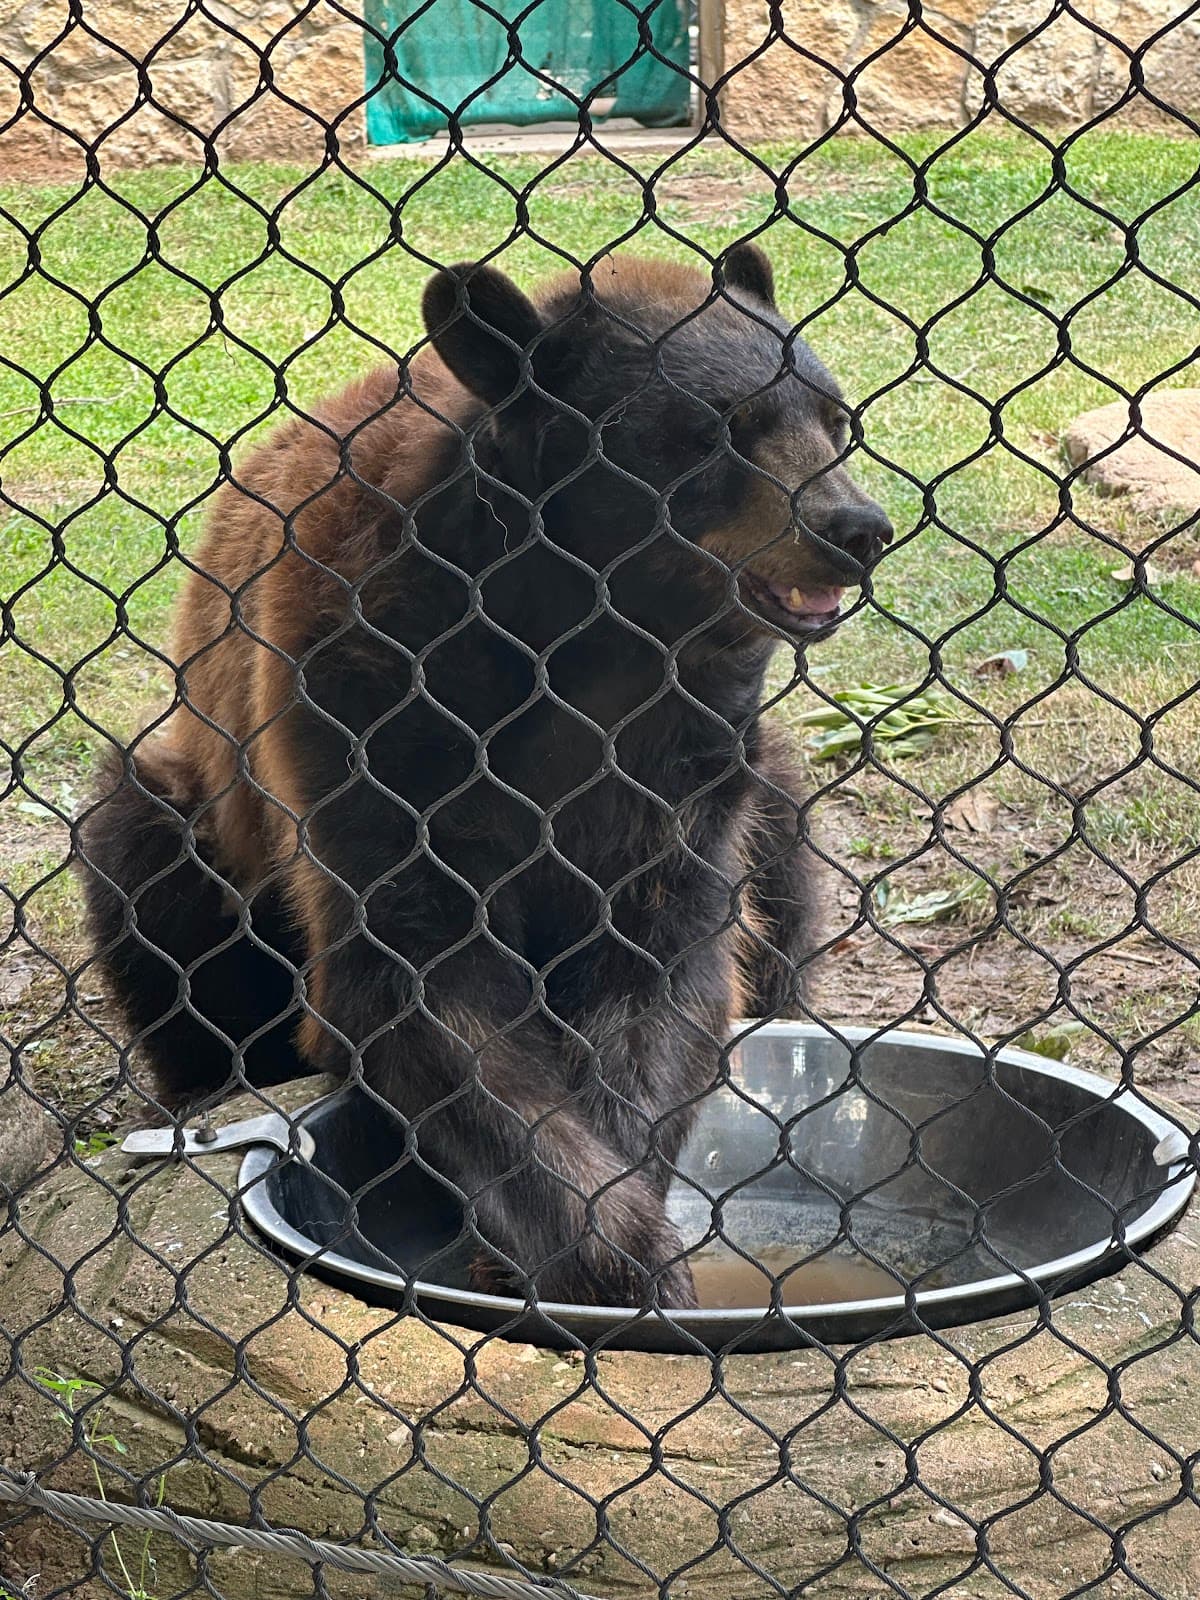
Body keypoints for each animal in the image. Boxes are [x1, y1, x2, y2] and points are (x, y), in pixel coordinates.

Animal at [79, 244, 892, 1310]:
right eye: (720, 428)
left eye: (832, 416)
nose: (857, 526)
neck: (589, 634)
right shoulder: (373, 701)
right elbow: (419, 972)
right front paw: (614, 1256)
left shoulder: (685, 746)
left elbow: (663, 962)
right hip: (204, 805)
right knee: (150, 872)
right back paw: (208, 1075)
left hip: (769, 788)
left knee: (785, 859)